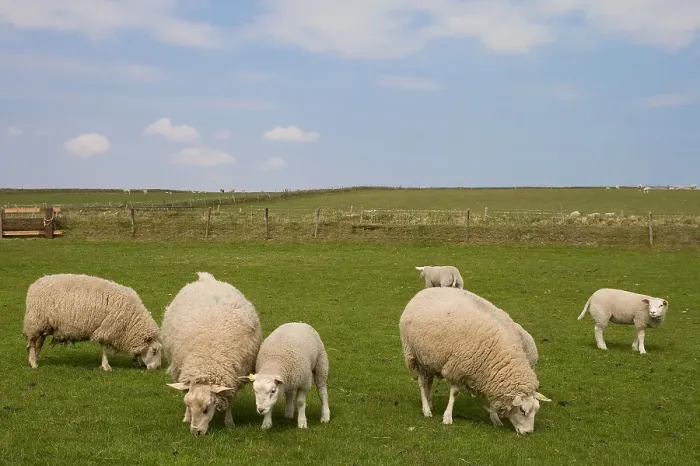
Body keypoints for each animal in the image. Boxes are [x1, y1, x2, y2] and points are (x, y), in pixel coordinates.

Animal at [22, 273, 162, 371]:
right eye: (154, 350)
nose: (157, 368)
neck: (131, 320)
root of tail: (34, 285)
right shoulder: (107, 328)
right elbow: (104, 348)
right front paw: (106, 366)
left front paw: (135, 362)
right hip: (35, 323)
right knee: (32, 343)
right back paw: (33, 363)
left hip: (43, 325)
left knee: (39, 343)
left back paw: (35, 359)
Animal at [162, 272, 263, 436]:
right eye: (190, 405)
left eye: (206, 409)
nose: (196, 433)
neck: (208, 360)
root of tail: (207, 279)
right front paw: (187, 417)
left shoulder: (233, 377)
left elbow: (229, 400)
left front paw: (229, 422)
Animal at [399, 287, 551, 435]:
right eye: (522, 410)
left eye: (536, 410)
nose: (529, 432)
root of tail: (423, 291)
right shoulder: (458, 367)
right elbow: (454, 393)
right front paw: (447, 417)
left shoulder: (489, 375)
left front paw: (495, 418)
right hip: (415, 356)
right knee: (421, 383)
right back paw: (426, 410)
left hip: (428, 359)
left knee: (428, 383)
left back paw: (429, 404)